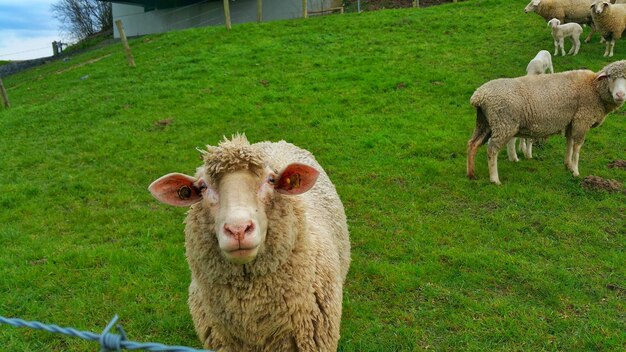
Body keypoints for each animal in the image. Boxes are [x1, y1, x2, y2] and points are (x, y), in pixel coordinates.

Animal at [466, 59, 624, 184]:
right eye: (610, 76)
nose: (620, 95)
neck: (594, 88)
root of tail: (479, 95)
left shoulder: (571, 121)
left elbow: (569, 142)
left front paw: (568, 165)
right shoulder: (582, 120)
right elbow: (577, 147)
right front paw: (575, 171)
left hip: (485, 122)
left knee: (472, 144)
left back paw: (471, 174)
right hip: (503, 123)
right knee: (492, 150)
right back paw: (494, 179)